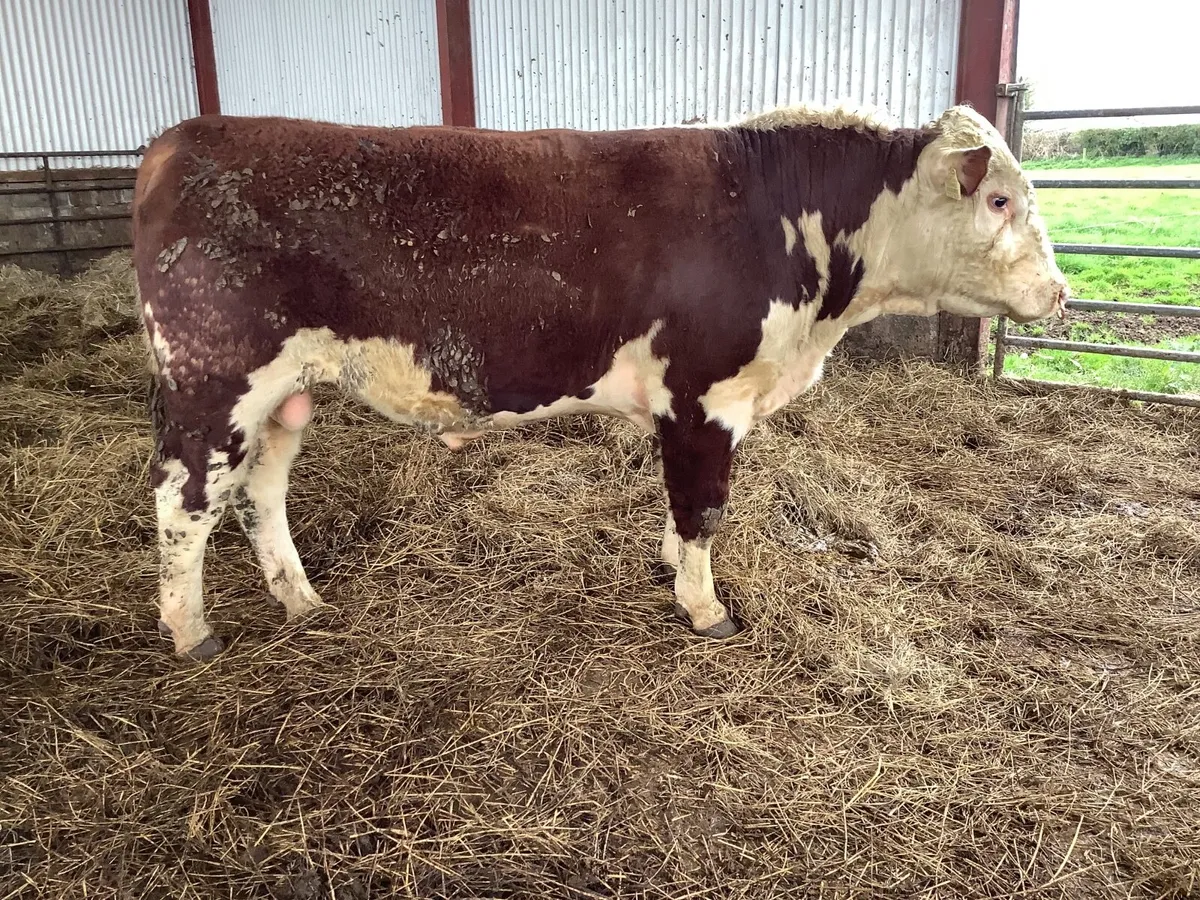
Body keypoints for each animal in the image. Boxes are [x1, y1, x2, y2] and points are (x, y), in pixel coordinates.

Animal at [132, 102, 1068, 661]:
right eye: (999, 201)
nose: (1059, 294)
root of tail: (184, 138)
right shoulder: (707, 396)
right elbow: (704, 506)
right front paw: (705, 609)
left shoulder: (681, 406)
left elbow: (677, 506)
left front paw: (671, 571)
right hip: (213, 383)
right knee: (184, 503)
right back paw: (191, 632)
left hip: (283, 396)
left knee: (262, 494)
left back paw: (302, 601)